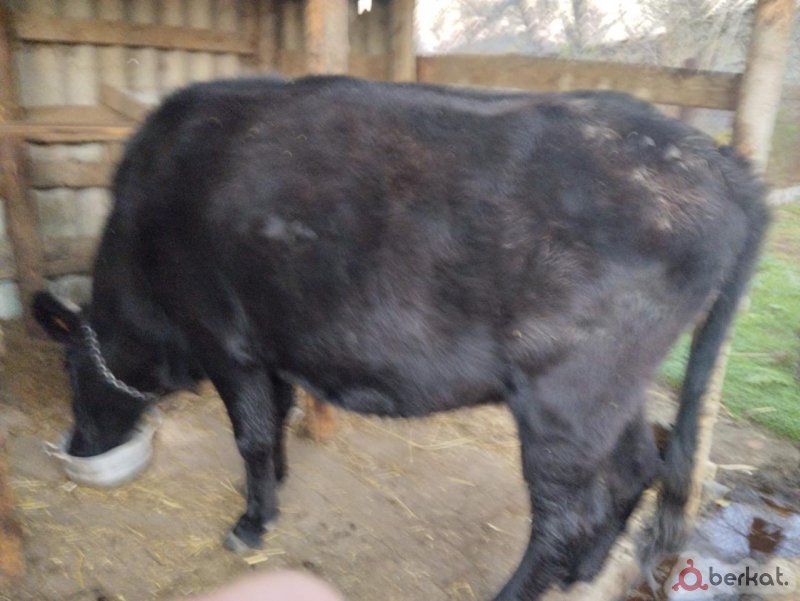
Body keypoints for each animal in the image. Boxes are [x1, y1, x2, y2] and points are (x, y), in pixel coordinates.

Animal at [32, 75, 768, 600]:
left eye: (71, 370)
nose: (79, 445)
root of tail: (722, 165)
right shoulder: (269, 345)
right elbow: (277, 416)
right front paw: (276, 489)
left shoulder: (222, 338)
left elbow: (251, 433)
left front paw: (249, 523)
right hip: (615, 389)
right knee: (636, 465)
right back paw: (582, 573)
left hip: (565, 395)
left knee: (565, 512)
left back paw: (520, 590)